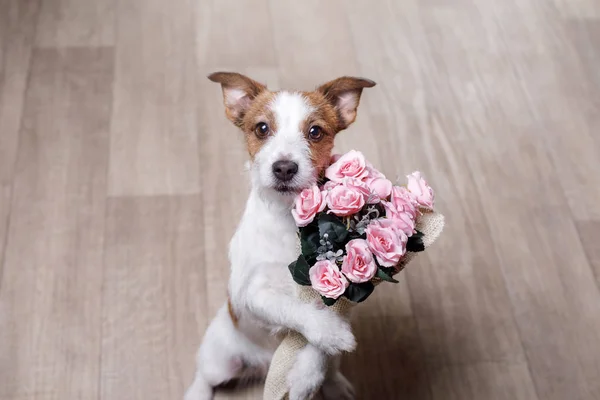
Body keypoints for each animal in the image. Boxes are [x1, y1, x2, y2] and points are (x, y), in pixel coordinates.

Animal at [185, 72, 376, 400]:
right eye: (262, 128)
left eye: (315, 132)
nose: (285, 167)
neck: (289, 218)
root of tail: (262, 364)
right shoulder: (252, 294)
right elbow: (293, 308)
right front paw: (327, 332)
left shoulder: (341, 294)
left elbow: (319, 346)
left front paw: (305, 375)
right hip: (220, 358)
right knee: (206, 376)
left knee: (331, 365)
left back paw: (334, 384)